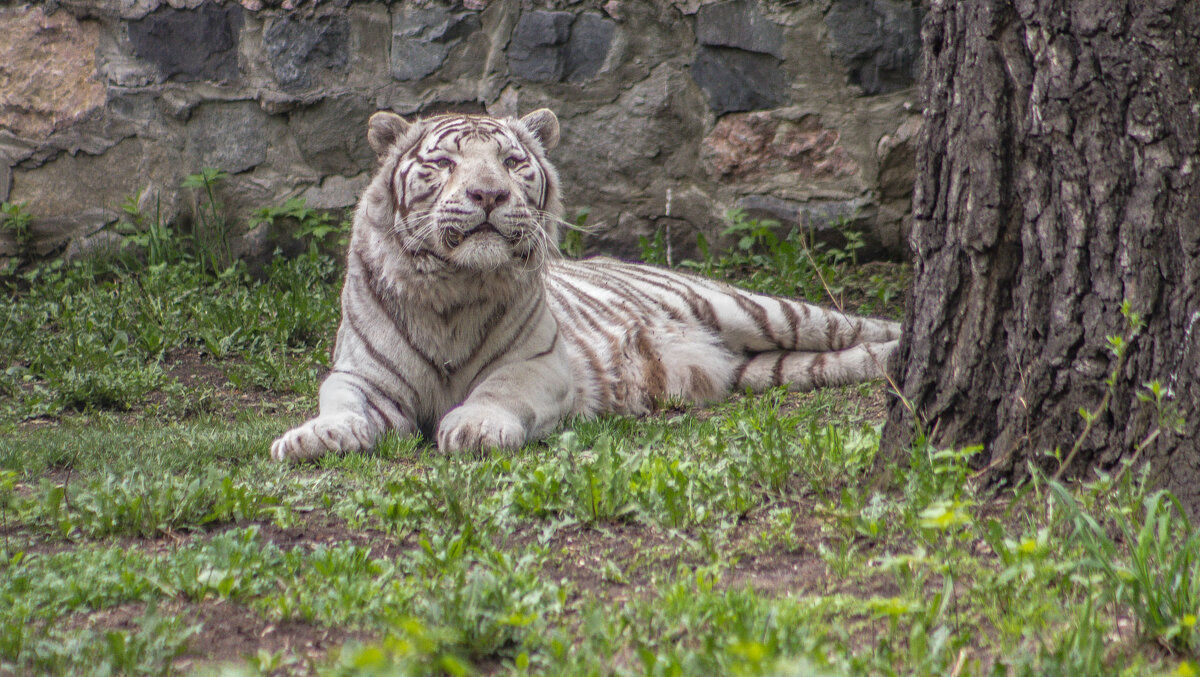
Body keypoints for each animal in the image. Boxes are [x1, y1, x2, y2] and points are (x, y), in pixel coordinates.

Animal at [267, 109, 897, 460]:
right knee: (837, 361)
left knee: (857, 324)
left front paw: (473, 426)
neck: (451, 289)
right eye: (444, 163)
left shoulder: (539, 364)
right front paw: (312, 438)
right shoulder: (361, 374)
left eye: (512, 161)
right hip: (768, 368)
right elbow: (342, 403)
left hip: (754, 310)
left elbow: (498, 391)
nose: (488, 194)